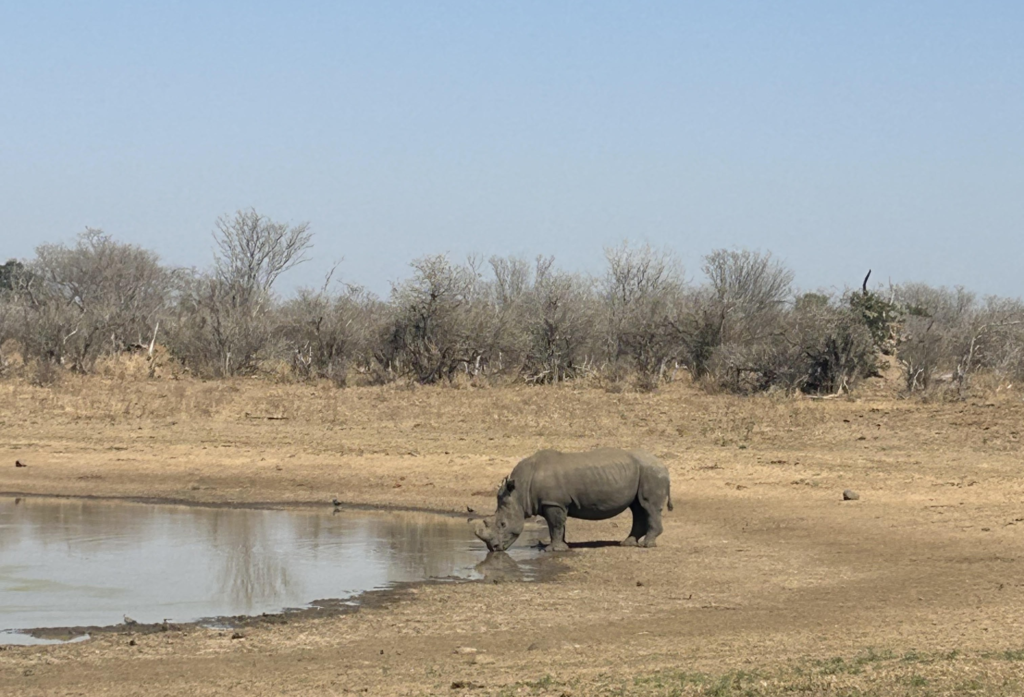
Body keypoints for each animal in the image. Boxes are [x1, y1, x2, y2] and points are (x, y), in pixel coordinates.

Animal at [472, 448, 673, 552]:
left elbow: (555, 525)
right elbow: (559, 526)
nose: (494, 548)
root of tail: (664, 465)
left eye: (503, 524)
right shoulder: (557, 503)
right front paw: (563, 546)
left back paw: (647, 545)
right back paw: (627, 544)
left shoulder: (553, 503)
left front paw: (552, 550)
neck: (520, 492)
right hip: (643, 472)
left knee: (648, 507)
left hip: (651, 472)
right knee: (637, 508)